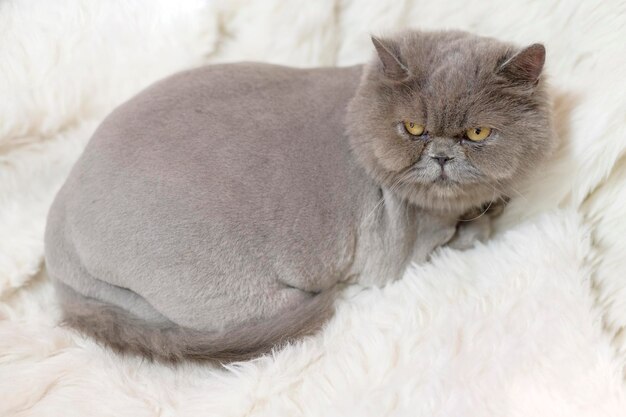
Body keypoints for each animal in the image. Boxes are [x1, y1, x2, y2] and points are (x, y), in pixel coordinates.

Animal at [44, 30, 552, 360]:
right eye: (413, 128)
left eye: (477, 132)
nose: (443, 156)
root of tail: (57, 237)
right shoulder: (399, 253)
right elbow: (464, 232)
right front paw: (486, 215)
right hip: (240, 295)